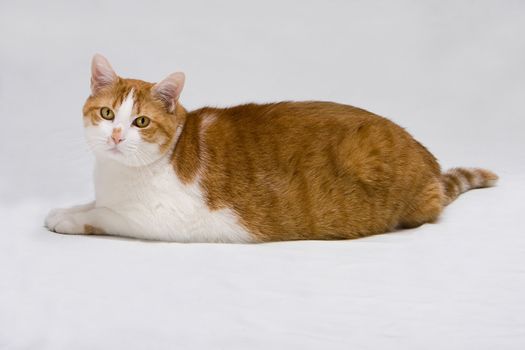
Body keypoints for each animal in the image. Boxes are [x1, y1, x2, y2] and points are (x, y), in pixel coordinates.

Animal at [44, 53, 496, 242]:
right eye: (107, 114)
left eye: (140, 122)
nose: (117, 136)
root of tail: (429, 162)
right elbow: (91, 203)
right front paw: (64, 208)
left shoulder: (156, 220)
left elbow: (101, 216)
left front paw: (66, 220)